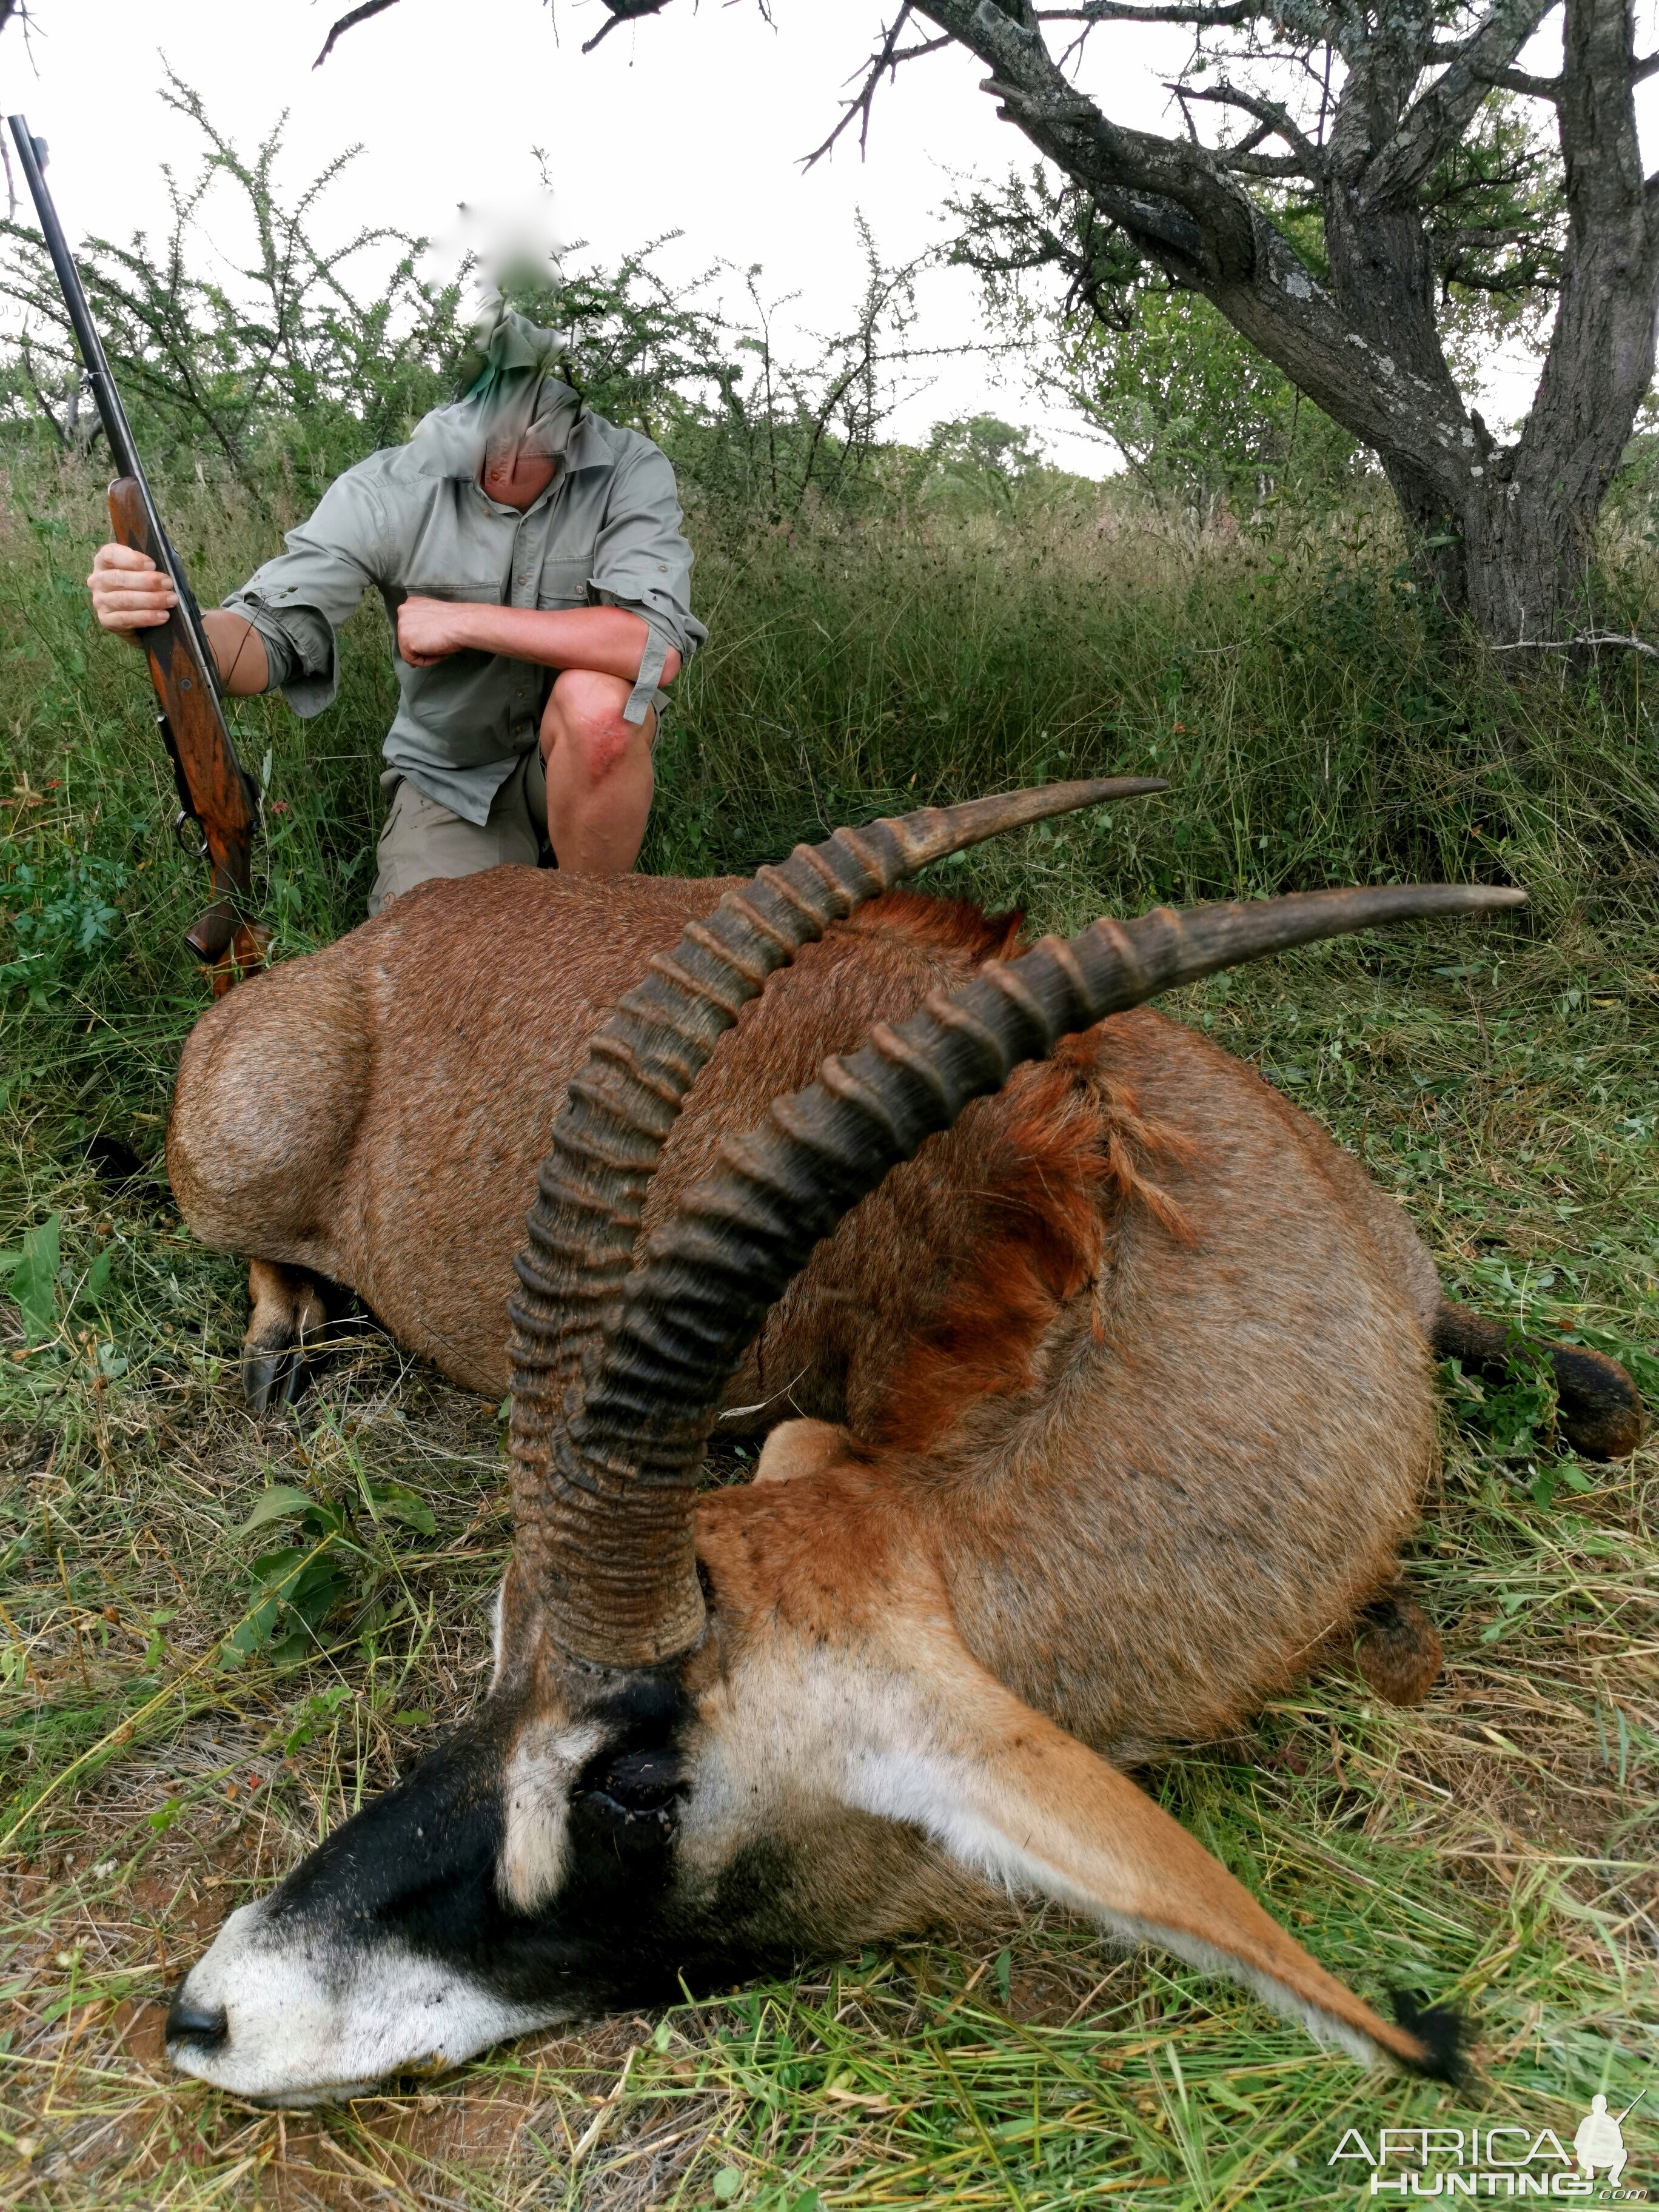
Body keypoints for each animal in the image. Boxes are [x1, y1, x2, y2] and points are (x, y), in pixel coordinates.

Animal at [163, 787, 1646, 2097]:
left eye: (638, 1784)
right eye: (497, 1646)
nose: (211, 2013)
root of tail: (350, 955)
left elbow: (1608, 1403)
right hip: (235, 1178)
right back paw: (286, 1335)